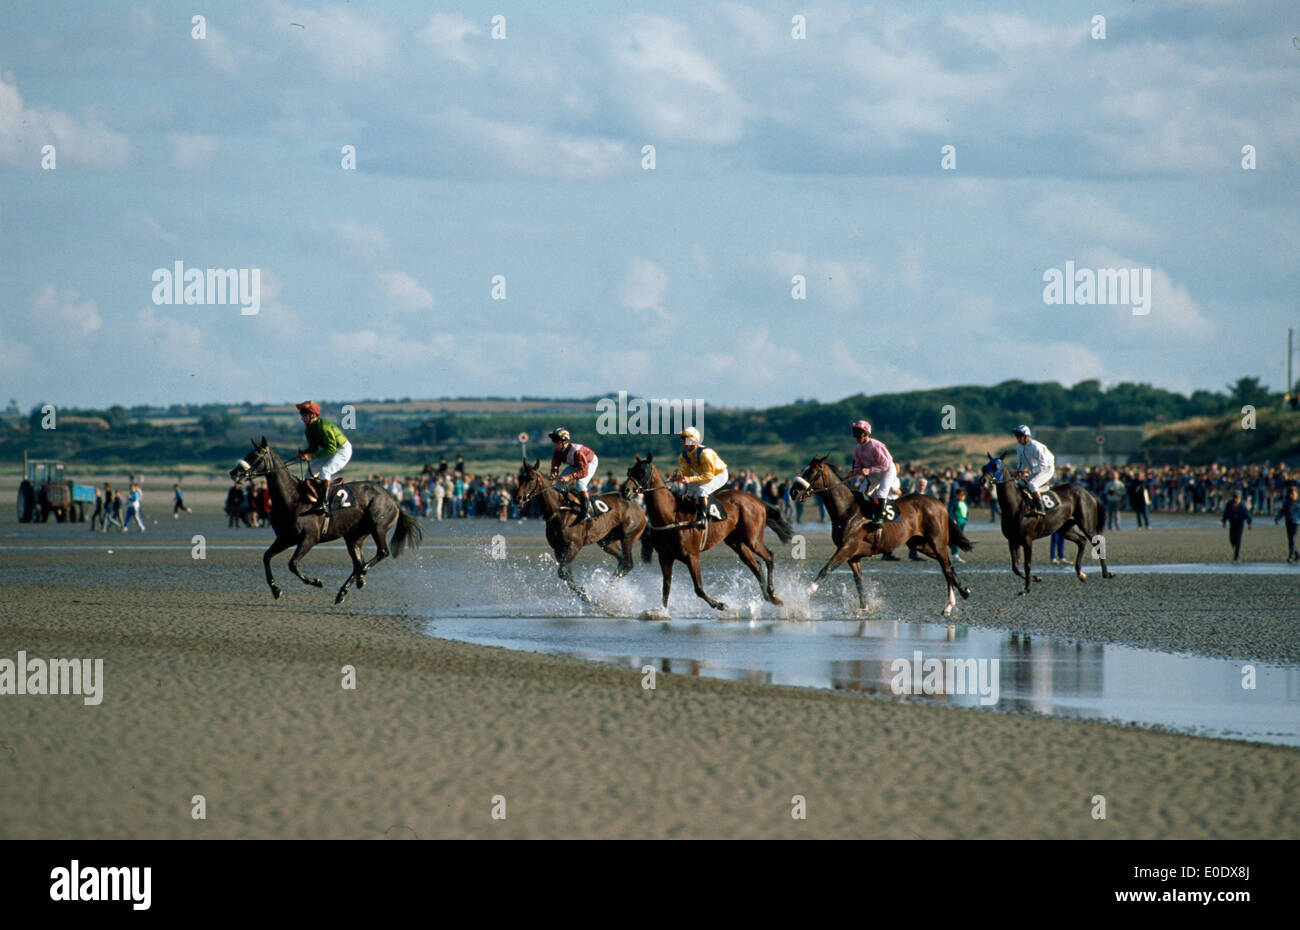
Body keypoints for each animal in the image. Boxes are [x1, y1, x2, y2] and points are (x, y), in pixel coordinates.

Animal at [228, 439, 421, 608]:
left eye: (256, 456)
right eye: (248, 454)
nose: (234, 472)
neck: (291, 497)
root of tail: (393, 500)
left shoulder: (309, 538)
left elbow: (292, 564)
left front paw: (316, 582)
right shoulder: (286, 538)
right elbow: (267, 557)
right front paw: (276, 590)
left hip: (377, 527)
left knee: (381, 553)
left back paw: (361, 575)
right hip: (354, 537)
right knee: (358, 563)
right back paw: (345, 591)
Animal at [512, 457, 644, 603]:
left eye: (530, 478)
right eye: (520, 477)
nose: (517, 498)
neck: (559, 509)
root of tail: (636, 504)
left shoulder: (574, 545)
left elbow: (563, 571)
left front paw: (587, 596)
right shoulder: (558, 548)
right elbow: (566, 574)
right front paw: (586, 596)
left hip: (628, 536)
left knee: (628, 564)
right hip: (606, 541)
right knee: (621, 561)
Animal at [618, 457, 790, 611]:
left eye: (642, 471)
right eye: (630, 471)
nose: (625, 490)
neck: (670, 516)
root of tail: (757, 500)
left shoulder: (692, 556)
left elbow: (699, 588)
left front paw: (720, 604)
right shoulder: (665, 557)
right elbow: (666, 589)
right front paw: (662, 611)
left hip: (752, 539)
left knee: (769, 556)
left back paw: (772, 593)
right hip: (737, 543)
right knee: (756, 566)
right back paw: (769, 597)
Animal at [780, 457, 977, 619]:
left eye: (811, 471)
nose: (793, 492)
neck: (847, 510)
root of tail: (940, 504)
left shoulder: (846, 548)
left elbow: (825, 569)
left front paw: (802, 597)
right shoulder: (853, 556)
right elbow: (859, 582)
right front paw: (863, 608)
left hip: (937, 541)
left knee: (946, 568)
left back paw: (952, 603)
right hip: (919, 544)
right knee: (946, 565)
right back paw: (959, 596)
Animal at [977, 450, 1112, 595]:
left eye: (996, 466)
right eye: (984, 467)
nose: (983, 481)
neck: (1016, 505)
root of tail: (1087, 492)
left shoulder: (1027, 539)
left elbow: (1027, 564)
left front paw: (1026, 589)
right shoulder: (1012, 540)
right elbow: (1015, 567)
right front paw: (1036, 578)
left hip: (1087, 525)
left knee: (1096, 543)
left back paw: (1106, 573)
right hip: (1064, 529)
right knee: (1081, 541)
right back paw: (1080, 573)